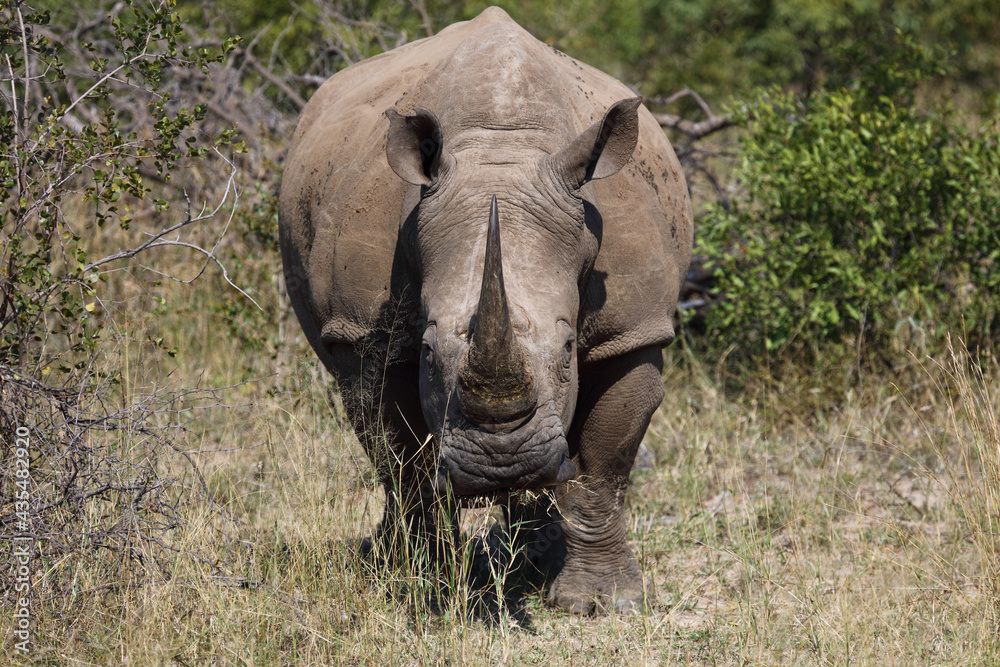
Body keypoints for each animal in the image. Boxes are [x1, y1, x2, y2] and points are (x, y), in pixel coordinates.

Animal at [278, 7, 692, 614]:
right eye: (428, 351)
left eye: (569, 348)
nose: (502, 462)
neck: (501, 151)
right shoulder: (363, 335)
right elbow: (402, 461)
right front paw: (421, 580)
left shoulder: (633, 331)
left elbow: (603, 464)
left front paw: (599, 602)